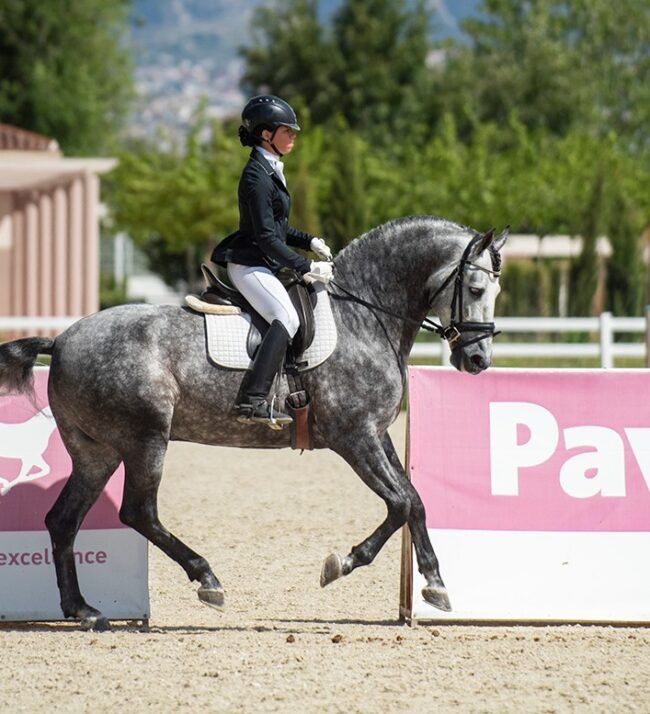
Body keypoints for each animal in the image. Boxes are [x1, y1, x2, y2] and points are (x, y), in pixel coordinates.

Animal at [0, 216, 508, 630]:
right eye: (476, 290)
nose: (477, 361)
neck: (364, 316)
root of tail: (62, 340)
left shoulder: (377, 434)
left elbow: (415, 501)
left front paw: (436, 584)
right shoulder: (353, 437)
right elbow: (400, 503)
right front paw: (340, 564)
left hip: (97, 451)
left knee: (64, 519)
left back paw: (83, 610)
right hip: (145, 439)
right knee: (138, 512)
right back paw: (207, 579)